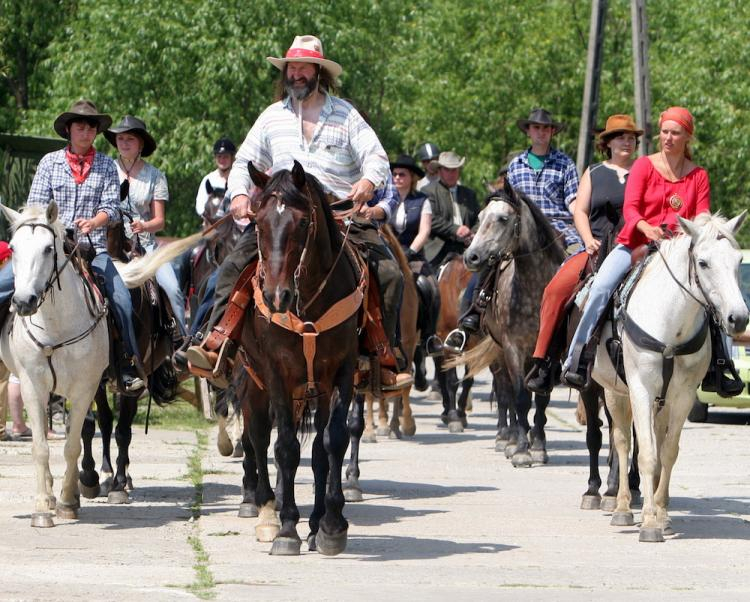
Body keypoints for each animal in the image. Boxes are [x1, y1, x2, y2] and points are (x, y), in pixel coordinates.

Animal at [0, 202, 203, 524]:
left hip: (127, 380)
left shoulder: (86, 385)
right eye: (14, 248)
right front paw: (46, 504)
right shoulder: (34, 385)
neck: (56, 324)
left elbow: (78, 441)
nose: (23, 302)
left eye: (48, 248)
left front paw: (70, 499)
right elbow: (48, 444)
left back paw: (117, 482)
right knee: (103, 423)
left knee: (121, 429)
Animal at [236, 159, 362, 552]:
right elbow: (286, 448)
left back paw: (316, 521)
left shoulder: (339, 372)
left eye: (303, 223)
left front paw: (331, 525)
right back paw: (266, 513)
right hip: (255, 383)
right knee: (259, 436)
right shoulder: (275, 373)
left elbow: (332, 441)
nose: (277, 296)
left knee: (319, 449)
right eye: (258, 222)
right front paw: (287, 528)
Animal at [596, 210, 748, 540]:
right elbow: (645, 454)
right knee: (622, 441)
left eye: (738, 260)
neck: (670, 326)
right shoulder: (640, 389)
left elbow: (667, 452)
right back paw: (622, 507)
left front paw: (661, 514)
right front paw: (649, 524)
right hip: (615, 392)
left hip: (660, 402)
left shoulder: (683, 396)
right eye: (703, 262)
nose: (739, 318)